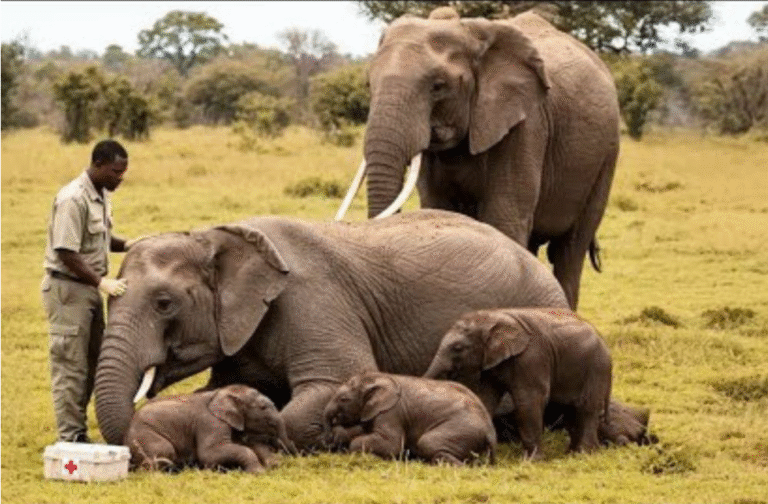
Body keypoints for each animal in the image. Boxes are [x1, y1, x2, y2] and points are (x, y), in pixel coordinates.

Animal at [124, 384, 295, 473]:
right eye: (263, 407)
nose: (290, 460)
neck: (223, 392)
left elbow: (251, 445)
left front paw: (274, 465)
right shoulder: (211, 423)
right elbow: (210, 453)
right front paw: (259, 472)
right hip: (145, 435)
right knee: (164, 451)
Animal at [323, 372, 496, 465]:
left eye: (343, 399)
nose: (329, 441)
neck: (377, 377)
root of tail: (491, 433)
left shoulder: (391, 412)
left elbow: (391, 444)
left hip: (462, 428)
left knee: (428, 442)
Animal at [337, 7, 620, 309]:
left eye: (438, 86)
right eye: (368, 84)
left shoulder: (525, 123)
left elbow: (503, 215)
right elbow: (439, 209)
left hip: (606, 156)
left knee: (570, 249)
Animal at [424, 308, 612, 459]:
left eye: (458, 348)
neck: (491, 318)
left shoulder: (531, 357)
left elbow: (528, 401)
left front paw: (532, 461)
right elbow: (487, 397)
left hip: (597, 368)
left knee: (586, 407)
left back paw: (585, 454)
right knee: (571, 410)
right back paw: (572, 453)